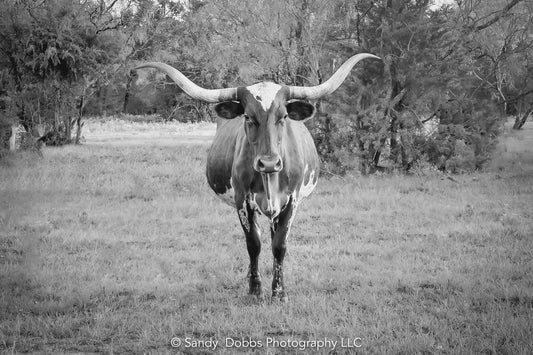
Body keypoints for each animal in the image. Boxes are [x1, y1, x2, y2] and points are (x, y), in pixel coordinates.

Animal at [135, 53, 380, 304]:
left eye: (283, 117)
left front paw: (279, 292)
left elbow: (279, 245)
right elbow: (253, 243)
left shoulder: (292, 201)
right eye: (248, 117)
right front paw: (255, 289)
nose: (269, 163)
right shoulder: (242, 201)